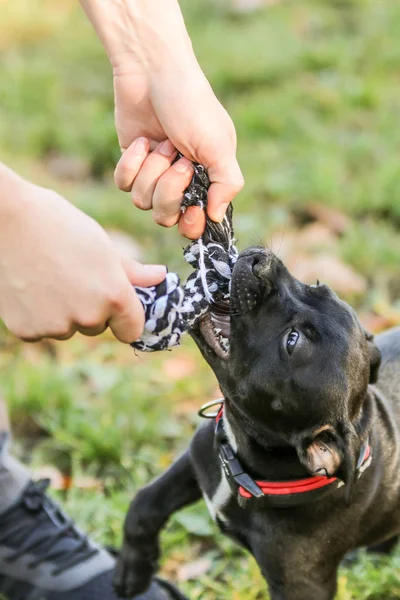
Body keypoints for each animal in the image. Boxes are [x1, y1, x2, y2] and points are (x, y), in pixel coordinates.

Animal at [112, 248, 400, 600]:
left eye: (292, 341)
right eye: (318, 287)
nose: (260, 261)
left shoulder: (301, 587)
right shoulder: (198, 458)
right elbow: (146, 502)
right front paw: (132, 570)